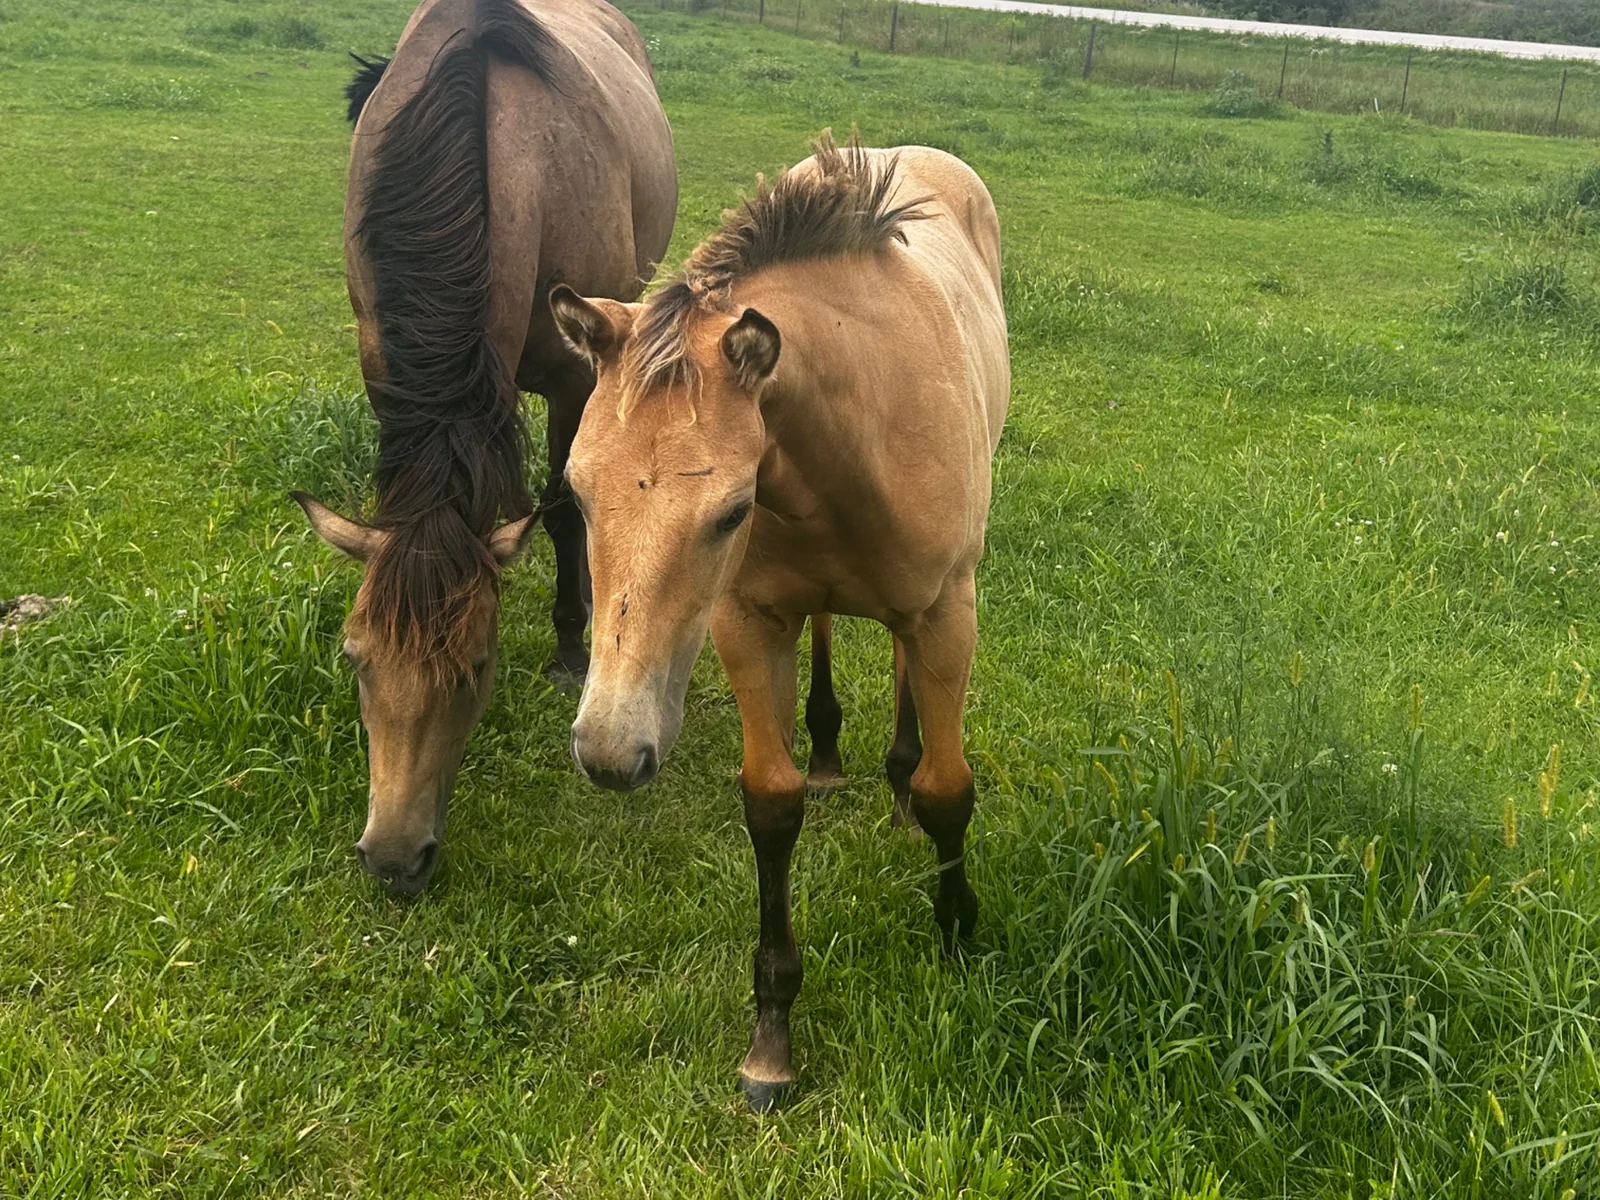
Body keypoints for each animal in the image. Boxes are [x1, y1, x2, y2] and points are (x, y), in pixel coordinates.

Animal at [292, 0, 677, 896]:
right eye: (355, 659)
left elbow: (566, 509)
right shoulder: (381, 361)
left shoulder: (574, 376)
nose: (395, 860)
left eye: (476, 667)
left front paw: (571, 645)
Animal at [548, 133, 1010, 1108]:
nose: (609, 750)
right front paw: (771, 1041)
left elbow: (951, 790)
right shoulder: (748, 621)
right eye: (576, 489)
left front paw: (957, 935)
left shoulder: (949, 611)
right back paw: (834, 752)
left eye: (730, 511)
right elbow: (771, 803)